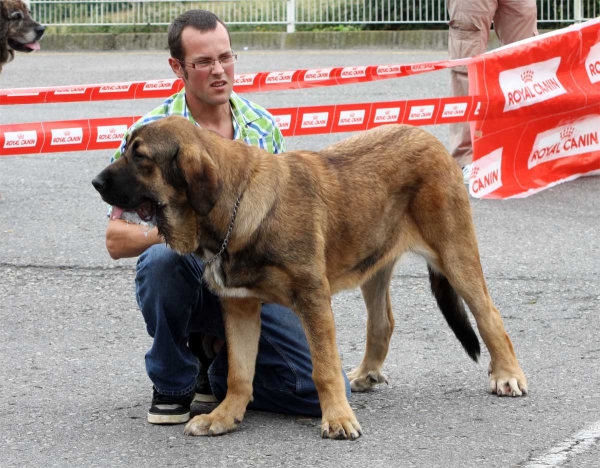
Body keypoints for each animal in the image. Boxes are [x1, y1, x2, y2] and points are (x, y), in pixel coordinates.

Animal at [91, 115, 528, 440]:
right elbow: (238, 373)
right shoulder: (240, 306)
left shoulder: (313, 299)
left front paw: (337, 418)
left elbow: (322, 369)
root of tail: (432, 140)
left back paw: (507, 375)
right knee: (382, 322)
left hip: (455, 253)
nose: (95, 183)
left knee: (489, 315)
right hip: (372, 262)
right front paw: (226, 415)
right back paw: (367, 372)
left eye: (140, 157)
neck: (233, 209)